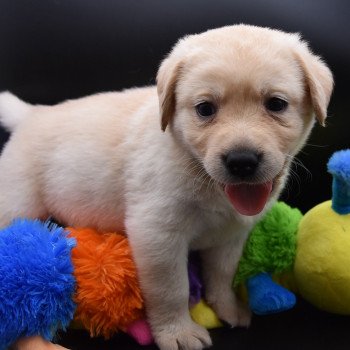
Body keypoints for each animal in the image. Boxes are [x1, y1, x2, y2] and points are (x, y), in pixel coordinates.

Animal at [0, 25, 332, 350]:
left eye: (276, 104)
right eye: (205, 109)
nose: (242, 161)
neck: (200, 173)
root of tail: (33, 114)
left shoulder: (230, 236)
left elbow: (223, 275)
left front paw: (228, 308)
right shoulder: (157, 234)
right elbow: (172, 289)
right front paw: (177, 331)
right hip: (17, 201)